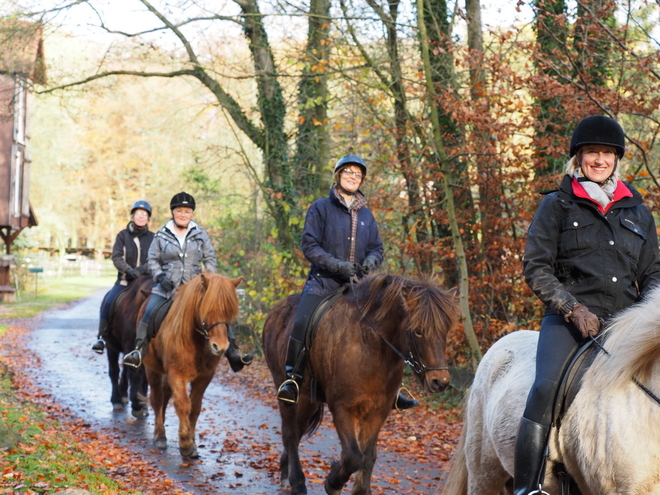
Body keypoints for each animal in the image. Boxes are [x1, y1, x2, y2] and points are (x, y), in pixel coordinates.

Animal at [104, 276, 153, 418]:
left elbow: (144, 377)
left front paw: (143, 405)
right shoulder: (128, 347)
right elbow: (134, 375)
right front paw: (137, 405)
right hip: (112, 347)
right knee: (114, 371)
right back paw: (117, 400)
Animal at [141, 274, 242, 460]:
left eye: (229, 312)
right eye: (208, 309)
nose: (220, 347)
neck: (195, 339)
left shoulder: (204, 377)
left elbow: (195, 407)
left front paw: (192, 442)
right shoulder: (177, 374)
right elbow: (182, 404)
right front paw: (186, 444)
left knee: (165, 397)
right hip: (152, 369)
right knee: (157, 398)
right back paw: (160, 436)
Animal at [262, 274, 458, 494]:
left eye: (445, 331)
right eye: (418, 331)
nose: (440, 381)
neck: (371, 347)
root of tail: (274, 312)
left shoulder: (377, 411)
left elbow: (368, 456)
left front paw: (359, 489)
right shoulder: (343, 408)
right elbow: (354, 457)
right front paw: (332, 483)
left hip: (309, 401)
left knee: (296, 432)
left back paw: (286, 472)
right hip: (290, 393)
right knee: (290, 433)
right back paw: (296, 482)